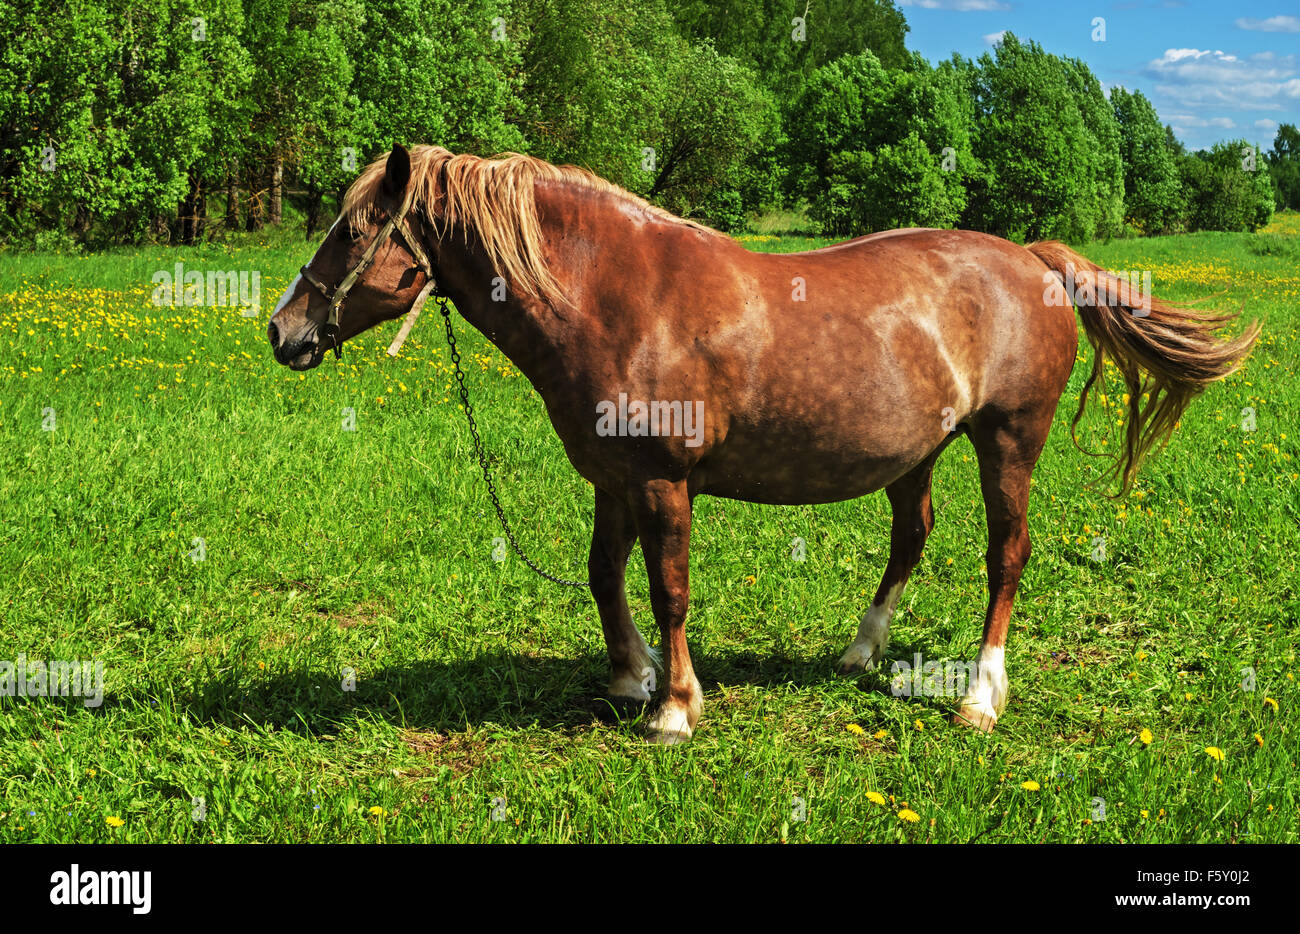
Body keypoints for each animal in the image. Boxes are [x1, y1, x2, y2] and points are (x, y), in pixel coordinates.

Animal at [266, 144, 1258, 744]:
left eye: (353, 228)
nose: (285, 331)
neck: (613, 296)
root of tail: (1033, 259)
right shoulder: (612, 480)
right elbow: (603, 575)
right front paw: (628, 679)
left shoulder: (662, 484)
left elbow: (667, 590)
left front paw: (673, 707)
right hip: (919, 453)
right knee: (911, 538)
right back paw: (859, 653)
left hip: (1008, 440)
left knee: (1004, 556)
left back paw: (980, 696)